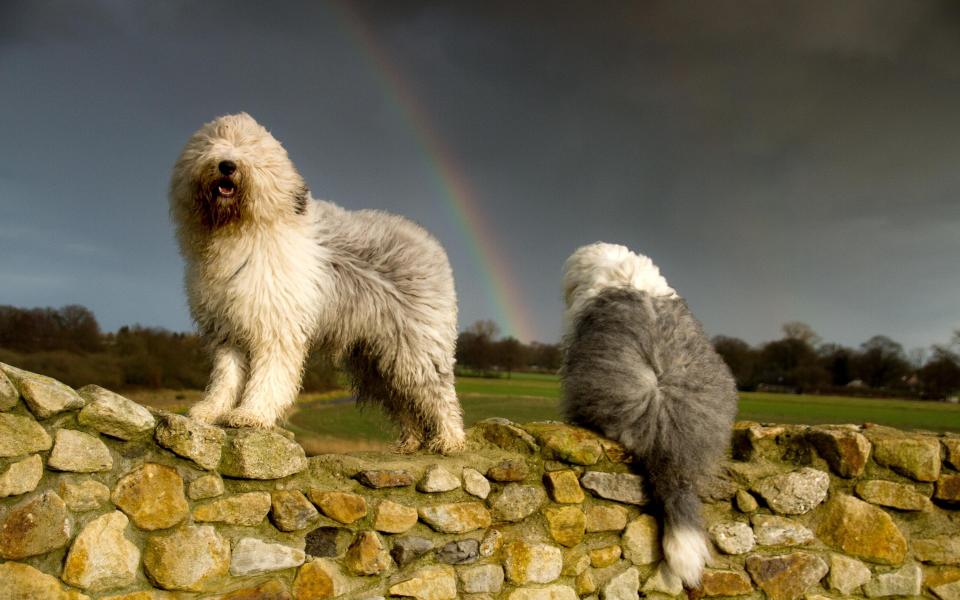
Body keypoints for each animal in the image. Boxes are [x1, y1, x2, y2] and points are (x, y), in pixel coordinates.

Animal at [171, 112, 466, 452]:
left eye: (251, 149)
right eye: (211, 144)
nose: (227, 165)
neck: (241, 231)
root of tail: (430, 243)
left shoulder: (275, 327)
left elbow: (270, 376)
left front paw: (252, 414)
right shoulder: (226, 330)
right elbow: (226, 378)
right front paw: (211, 410)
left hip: (416, 346)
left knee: (438, 394)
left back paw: (450, 439)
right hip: (377, 359)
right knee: (403, 399)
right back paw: (410, 442)